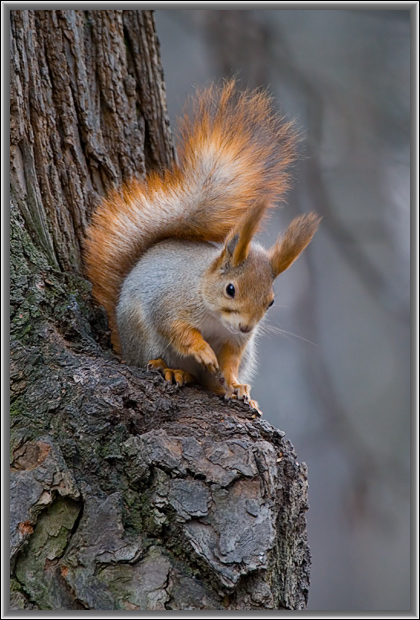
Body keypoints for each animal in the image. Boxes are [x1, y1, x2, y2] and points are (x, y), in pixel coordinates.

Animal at [83, 81, 320, 412]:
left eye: (271, 301)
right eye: (230, 289)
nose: (246, 327)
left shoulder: (236, 342)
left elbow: (230, 361)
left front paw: (234, 382)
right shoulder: (169, 304)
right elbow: (179, 331)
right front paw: (203, 350)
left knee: (208, 381)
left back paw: (226, 387)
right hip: (141, 336)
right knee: (152, 359)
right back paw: (170, 368)